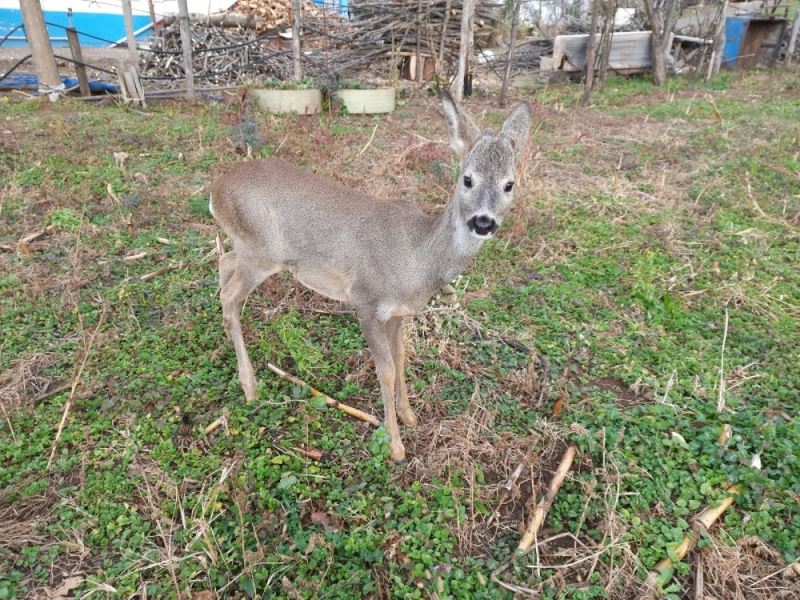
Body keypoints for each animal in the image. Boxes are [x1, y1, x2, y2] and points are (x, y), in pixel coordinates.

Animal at [209, 92, 532, 460]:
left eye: (509, 184)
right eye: (467, 178)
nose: (483, 222)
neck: (416, 259)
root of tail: (215, 189)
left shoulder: (398, 312)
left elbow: (401, 357)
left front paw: (408, 415)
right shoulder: (365, 299)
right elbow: (386, 369)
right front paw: (395, 445)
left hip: (249, 250)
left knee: (225, 264)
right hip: (260, 253)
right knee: (230, 296)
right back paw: (250, 387)